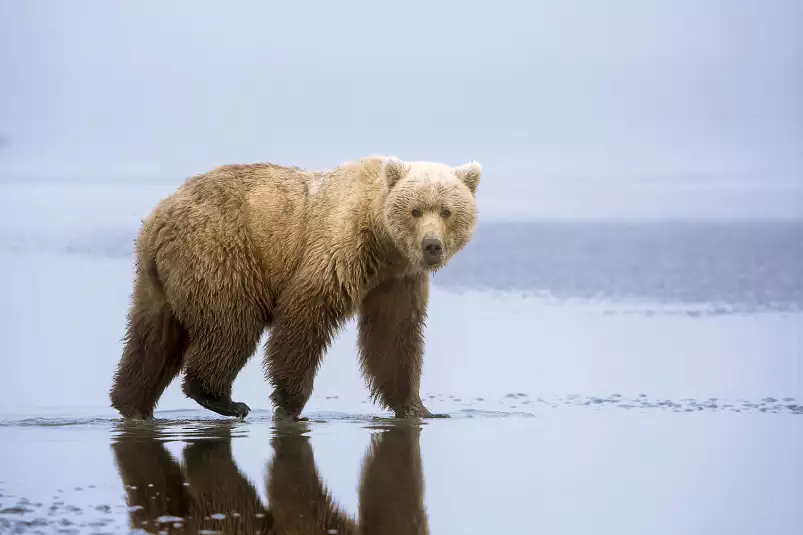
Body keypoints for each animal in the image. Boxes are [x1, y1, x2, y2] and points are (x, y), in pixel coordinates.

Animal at [109, 155, 480, 422]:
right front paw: (289, 404)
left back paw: (132, 403)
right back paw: (225, 400)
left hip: (158, 280)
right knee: (231, 324)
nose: (432, 246)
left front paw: (419, 407)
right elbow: (304, 316)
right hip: (220, 253)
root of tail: (159, 217)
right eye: (416, 210)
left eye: (446, 211)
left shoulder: (397, 280)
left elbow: (395, 337)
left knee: (152, 339)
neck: (382, 242)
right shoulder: (338, 248)